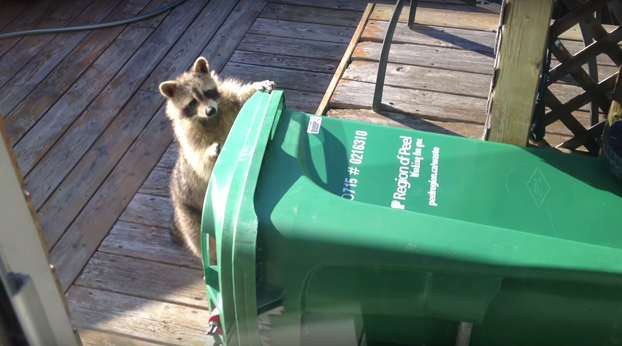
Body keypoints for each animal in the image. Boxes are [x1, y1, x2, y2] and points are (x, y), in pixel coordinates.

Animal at [160, 56, 276, 262]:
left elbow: (240, 99)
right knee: (200, 240)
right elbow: (200, 161)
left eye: (207, 92)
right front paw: (209, 152)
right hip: (189, 214)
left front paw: (255, 87)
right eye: (191, 103)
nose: (210, 111)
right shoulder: (189, 137)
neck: (208, 119)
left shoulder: (225, 101)